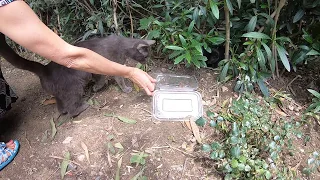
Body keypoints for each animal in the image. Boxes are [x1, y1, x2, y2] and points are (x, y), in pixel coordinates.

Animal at [0, 34, 155, 116]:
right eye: (145, 56)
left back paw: (63, 111)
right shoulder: (112, 64)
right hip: (74, 88)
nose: (148, 61)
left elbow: (100, 79)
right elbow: (117, 78)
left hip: (60, 91)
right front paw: (126, 88)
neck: (122, 46)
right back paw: (82, 108)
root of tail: (45, 69)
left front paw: (97, 87)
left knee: (61, 104)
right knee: (71, 105)